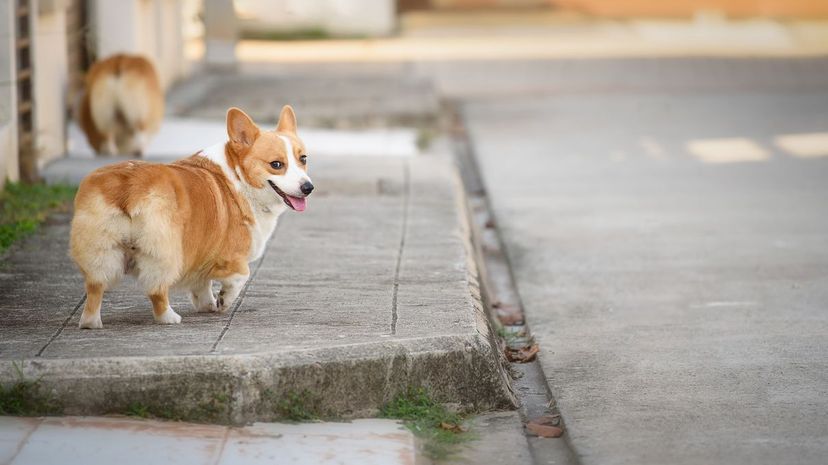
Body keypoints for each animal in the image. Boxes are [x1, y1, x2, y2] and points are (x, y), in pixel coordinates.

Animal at [68, 107, 310, 328]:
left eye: (303, 159)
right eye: (276, 164)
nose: (308, 187)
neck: (238, 175)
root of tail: (128, 184)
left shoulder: (201, 257)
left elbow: (201, 285)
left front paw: (207, 305)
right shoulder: (230, 257)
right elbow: (241, 275)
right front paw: (223, 301)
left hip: (100, 251)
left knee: (95, 289)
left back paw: (91, 323)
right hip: (164, 251)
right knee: (156, 289)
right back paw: (169, 317)